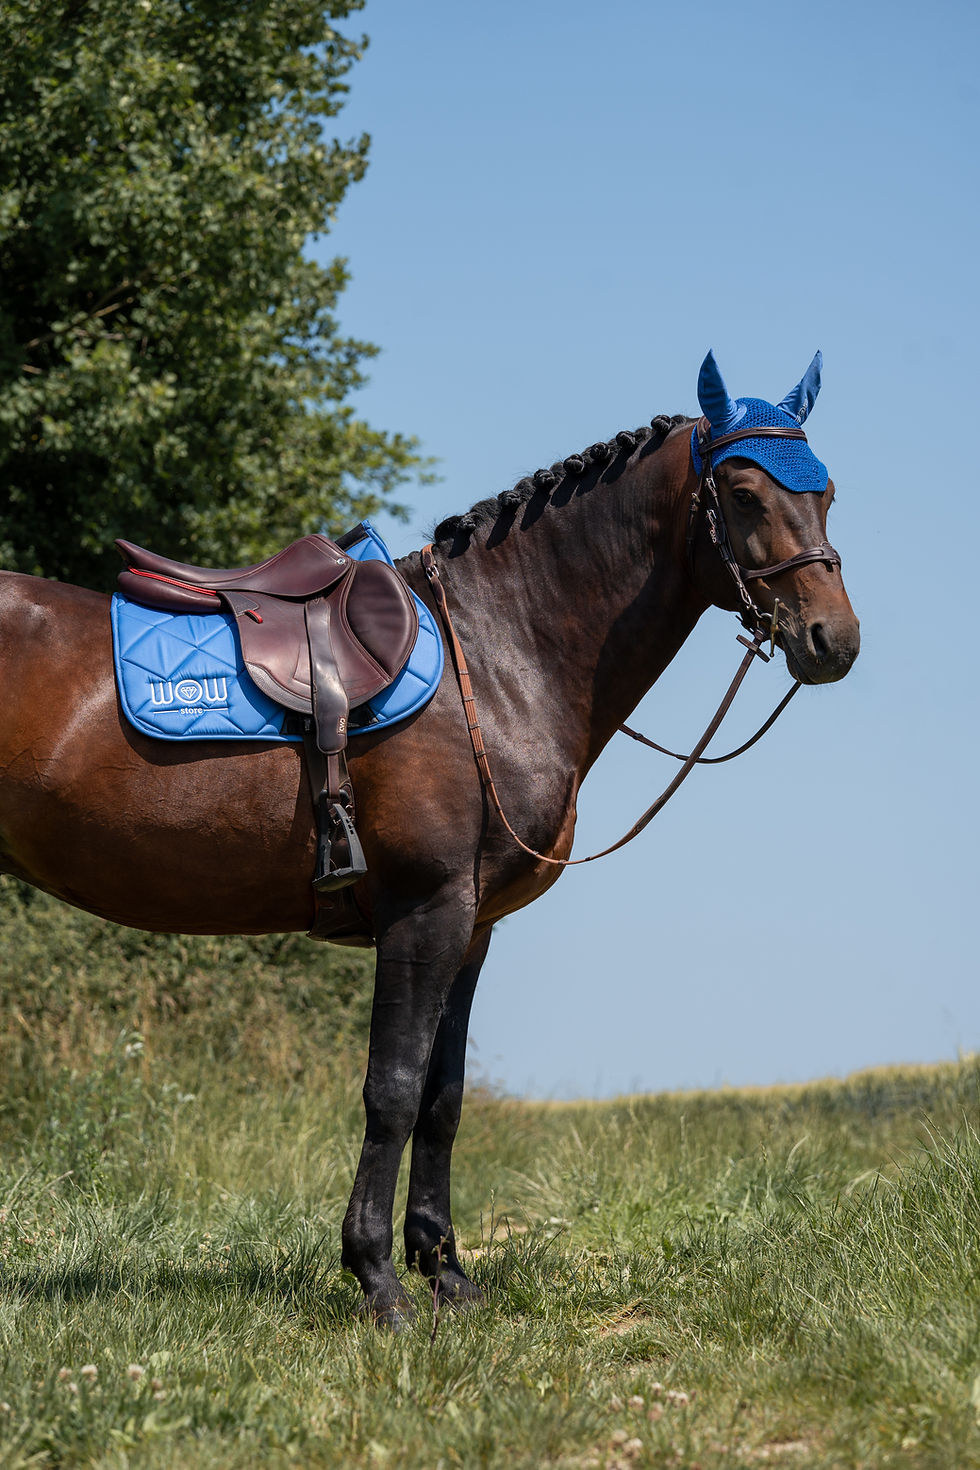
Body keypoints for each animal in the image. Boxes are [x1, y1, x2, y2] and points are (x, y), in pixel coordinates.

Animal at [0, 353, 859, 1326]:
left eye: (827, 491)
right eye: (744, 494)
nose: (834, 640)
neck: (495, 655)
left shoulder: (472, 926)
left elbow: (443, 1101)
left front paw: (444, 1270)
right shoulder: (425, 911)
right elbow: (394, 1090)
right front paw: (378, 1278)